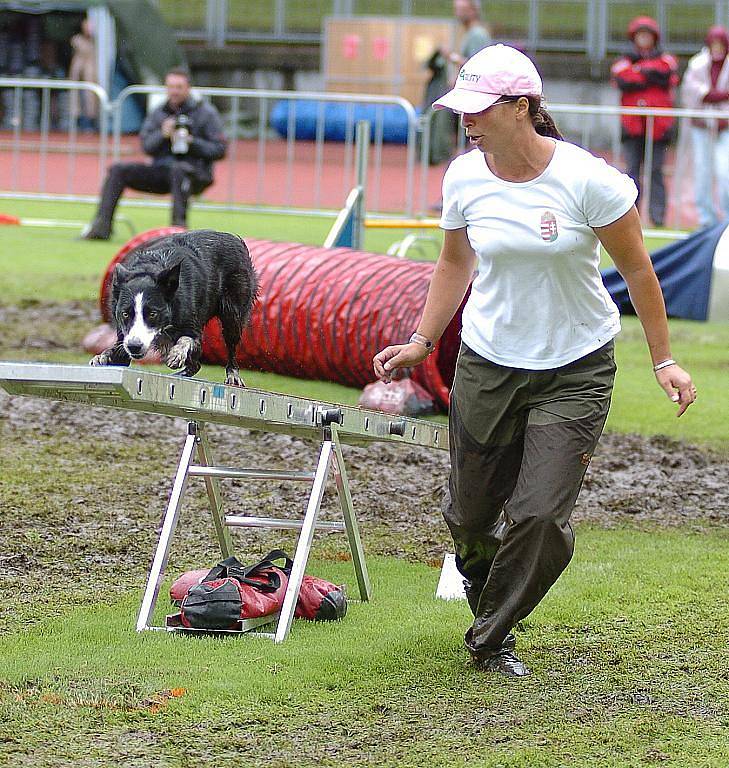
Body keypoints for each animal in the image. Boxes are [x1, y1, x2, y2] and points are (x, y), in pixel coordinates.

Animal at [90, 226, 258, 384]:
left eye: (153, 314)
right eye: (125, 313)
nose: (134, 346)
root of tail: (236, 239)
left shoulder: (192, 326)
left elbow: (187, 339)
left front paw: (176, 354)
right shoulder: (124, 337)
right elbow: (118, 353)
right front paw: (102, 357)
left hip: (233, 314)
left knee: (228, 346)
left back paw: (232, 374)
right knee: (196, 364)